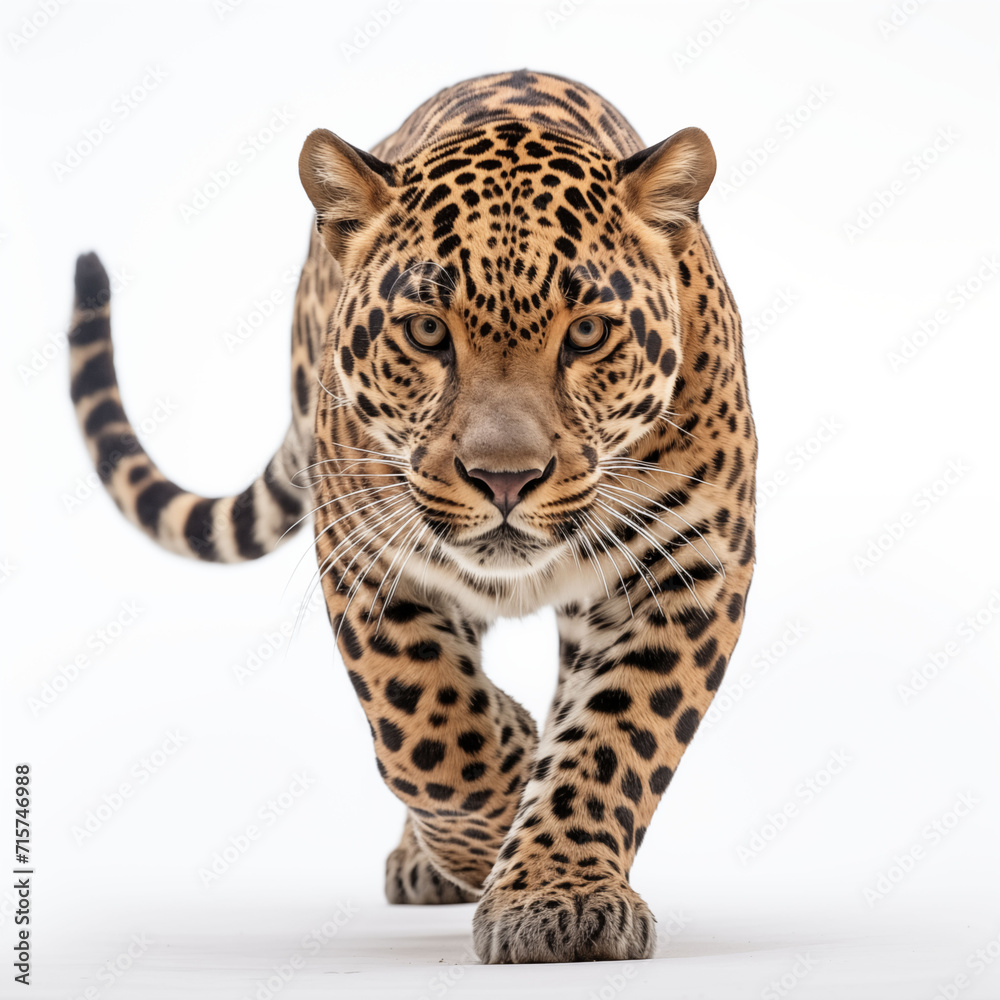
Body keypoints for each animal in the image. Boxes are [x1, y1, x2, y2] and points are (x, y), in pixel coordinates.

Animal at [67, 69, 756, 964]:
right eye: (428, 331)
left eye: (588, 334)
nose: (505, 479)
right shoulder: (366, 559)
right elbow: (430, 732)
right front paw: (500, 816)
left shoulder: (689, 564)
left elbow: (616, 736)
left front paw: (558, 892)